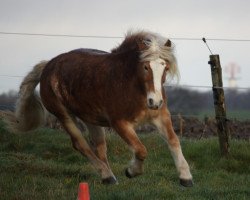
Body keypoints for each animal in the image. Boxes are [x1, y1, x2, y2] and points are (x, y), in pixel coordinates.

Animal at [9, 30, 193, 187]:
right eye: (145, 66)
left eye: (165, 67)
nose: (155, 101)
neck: (133, 87)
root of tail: (48, 66)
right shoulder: (119, 122)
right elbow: (141, 150)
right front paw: (131, 171)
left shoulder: (160, 117)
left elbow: (174, 141)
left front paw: (186, 178)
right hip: (64, 115)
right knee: (80, 144)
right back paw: (107, 176)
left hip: (90, 118)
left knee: (99, 146)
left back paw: (108, 178)